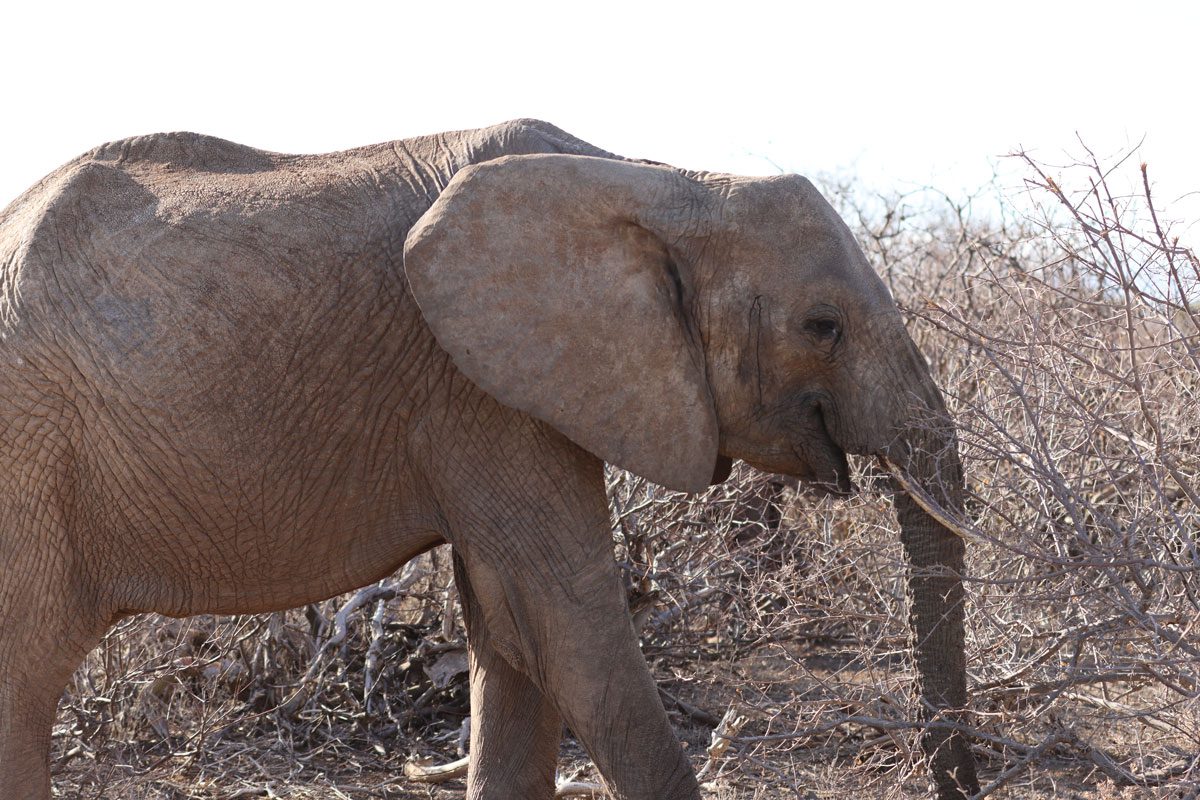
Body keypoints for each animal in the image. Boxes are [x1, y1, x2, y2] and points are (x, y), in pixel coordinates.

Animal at [0, 120, 974, 800]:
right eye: (823, 326)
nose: (956, 777)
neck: (656, 181)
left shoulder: (499, 393)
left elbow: (511, 633)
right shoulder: (486, 394)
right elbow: (574, 630)